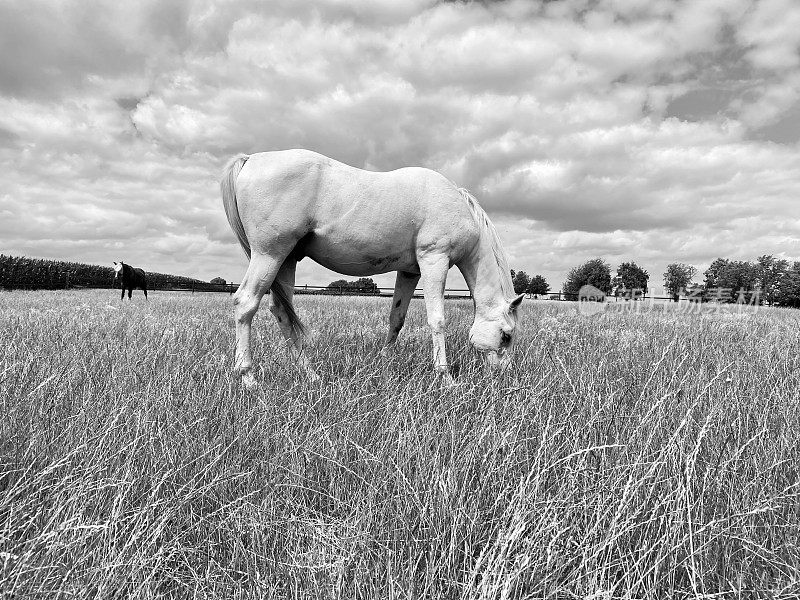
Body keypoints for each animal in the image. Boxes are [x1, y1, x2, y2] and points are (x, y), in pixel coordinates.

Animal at [220, 148, 524, 386]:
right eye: (506, 335)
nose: (504, 375)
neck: (457, 206)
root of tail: (251, 159)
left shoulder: (410, 271)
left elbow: (397, 318)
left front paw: (383, 361)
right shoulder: (434, 260)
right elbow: (437, 320)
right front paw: (446, 378)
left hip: (286, 260)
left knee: (282, 312)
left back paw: (310, 374)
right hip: (269, 254)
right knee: (246, 303)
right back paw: (248, 377)